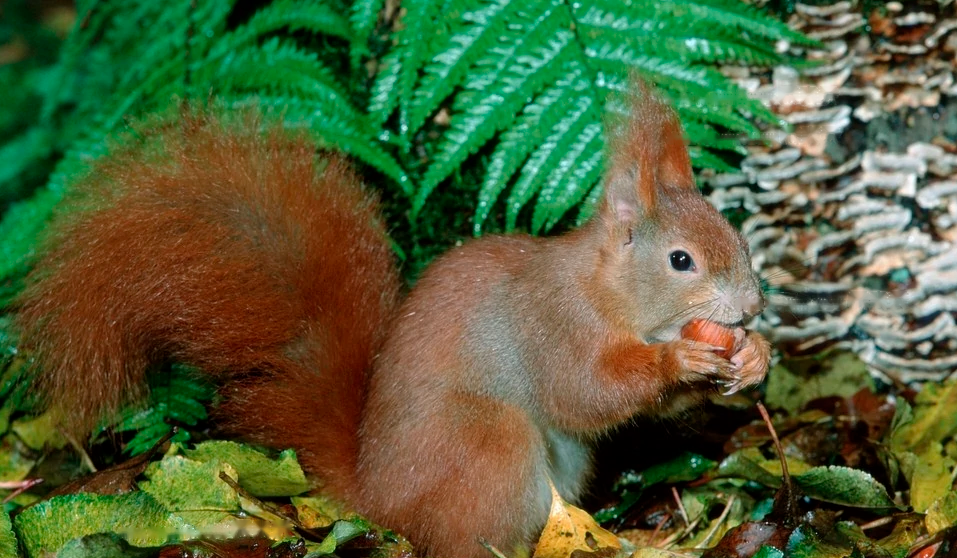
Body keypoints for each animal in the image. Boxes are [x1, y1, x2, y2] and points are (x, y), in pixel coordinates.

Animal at [13, 92, 771, 558]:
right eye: (680, 260)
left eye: (735, 234)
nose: (752, 307)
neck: (605, 291)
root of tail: (379, 498)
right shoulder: (549, 325)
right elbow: (584, 394)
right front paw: (679, 362)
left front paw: (753, 359)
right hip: (486, 443)